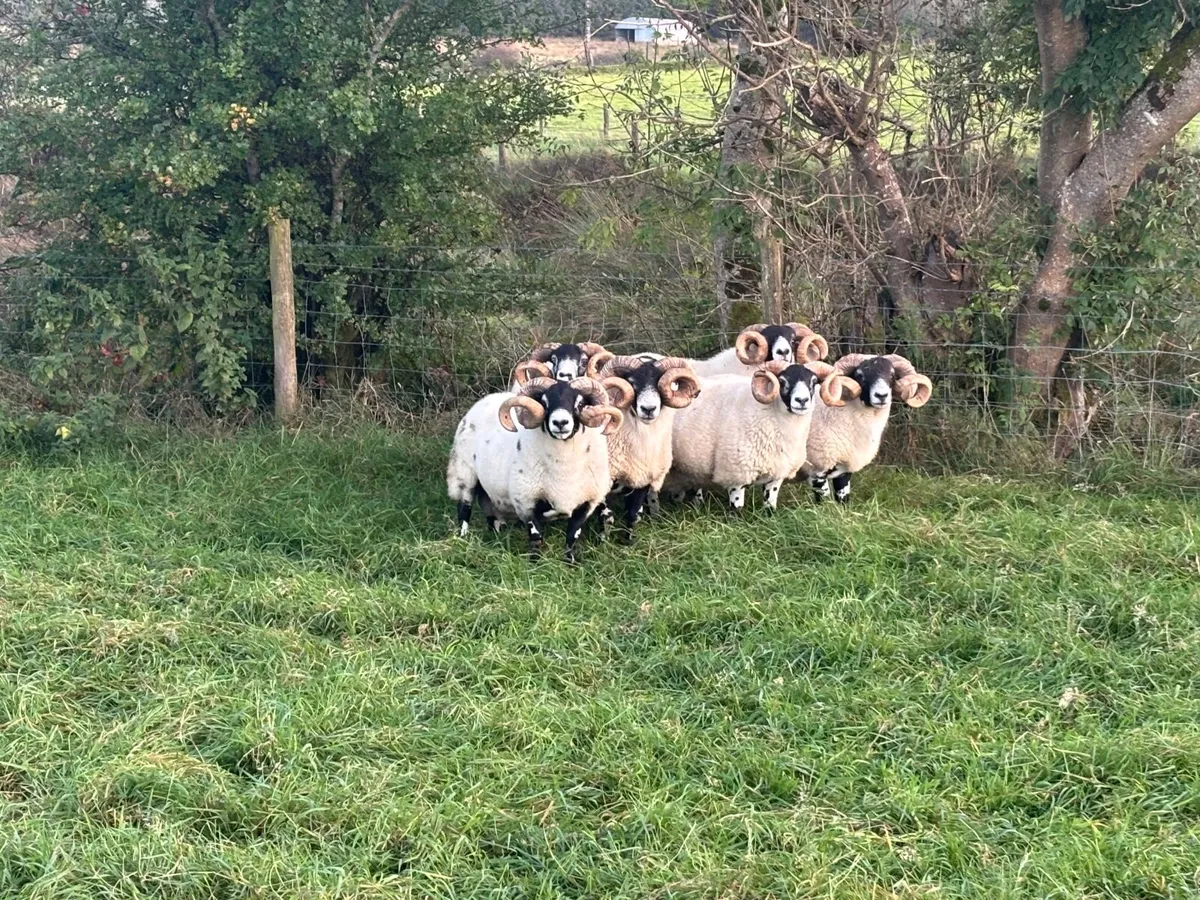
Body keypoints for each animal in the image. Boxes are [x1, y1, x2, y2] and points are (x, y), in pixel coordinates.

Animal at [446, 376, 629, 563]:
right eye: (544, 402)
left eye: (580, 403)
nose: (560, 422)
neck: (564, 471)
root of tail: (487, 399)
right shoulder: (526, 502)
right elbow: (536, 537)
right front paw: (535, 563)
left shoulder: (586, 503)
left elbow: (572, 536)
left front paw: (570, 562)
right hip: (463, 473)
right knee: (464, 510)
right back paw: (462, 541)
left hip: (488, 489)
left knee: (490, 513)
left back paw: (495, 540)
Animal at [589, 355, 701, 540]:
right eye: (632, 383)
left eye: (660, 384)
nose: (648, 409)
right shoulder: (600, 478)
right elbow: (606, 516)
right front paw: (603, 542)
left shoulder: (644, 477)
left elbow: (632, 514)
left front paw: (628, 541)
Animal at [663, 360, 836, 513]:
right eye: (782, 381)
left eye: (814, 381)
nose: (802, 400)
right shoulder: (735, 474)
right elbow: (736, 510)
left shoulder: (775, 473)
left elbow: (769, 506)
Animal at [801, 354, 933, 505]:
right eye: (860, 375)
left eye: (892, 375)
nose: (881, 396)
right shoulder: (816, 470)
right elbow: (823, 503)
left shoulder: (843, 470)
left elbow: (843, 500)